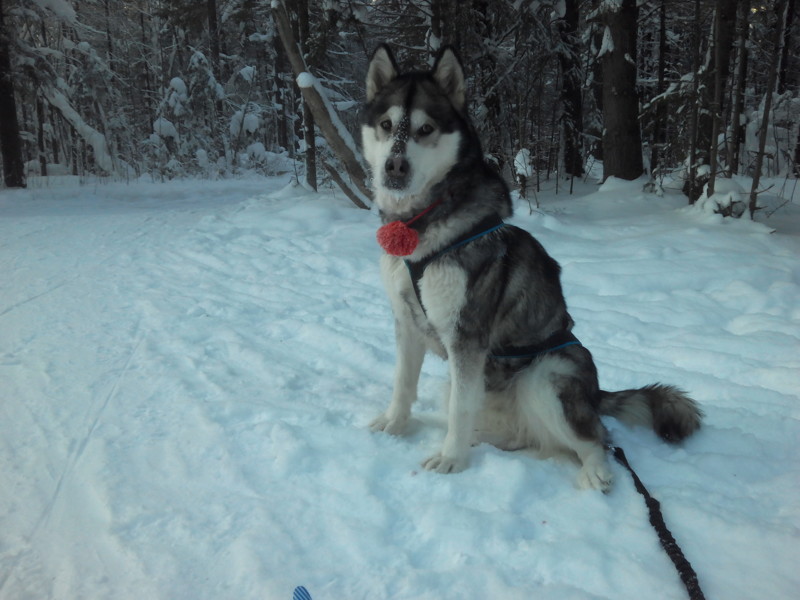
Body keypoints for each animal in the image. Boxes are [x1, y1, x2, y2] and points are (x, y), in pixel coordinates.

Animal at [362, 45, 700, 488]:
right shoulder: (406, 321)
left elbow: (459, 409)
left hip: (546, 378)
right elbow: (403, 384)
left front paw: (451, 459)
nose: (395, 167)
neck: (421, 225)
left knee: (596, 440)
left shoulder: (466, 336)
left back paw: (595, 474)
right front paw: (395, 424)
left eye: (425, 129)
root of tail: (595, 395)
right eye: (386, 125)